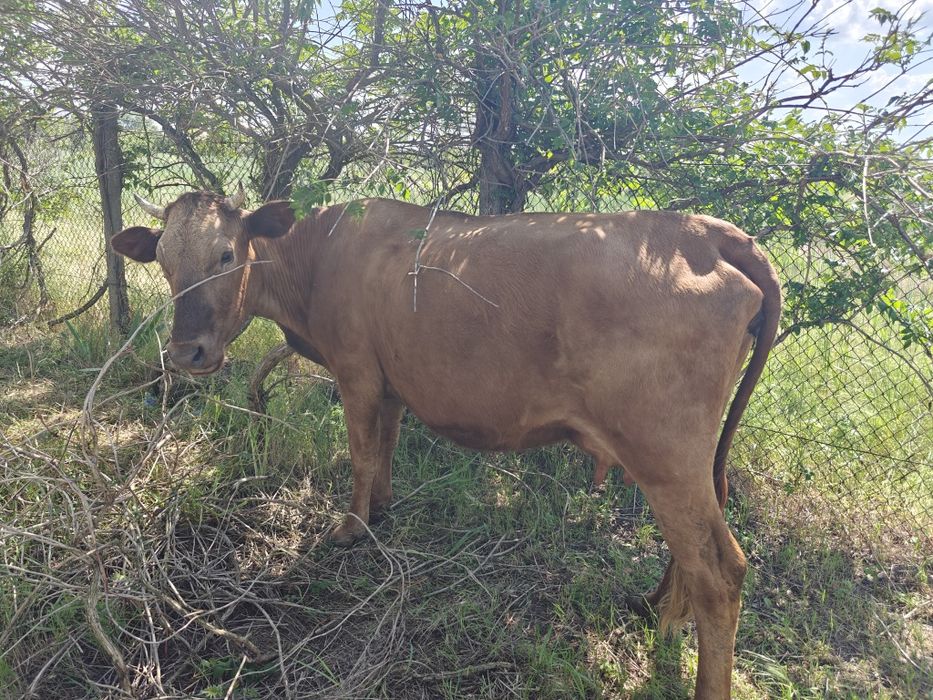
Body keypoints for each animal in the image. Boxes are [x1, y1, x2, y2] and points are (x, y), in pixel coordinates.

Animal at [112, 185, 781, 699]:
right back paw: (660, 611)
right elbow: (383, 445)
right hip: (687, 458)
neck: (316, 256)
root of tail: (705, 230)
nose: (186, 353)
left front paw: (351, 528)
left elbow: (361, 451)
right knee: (700, 543)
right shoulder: (391, 379)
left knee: (720, 570)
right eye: (164, 262)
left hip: (665, 452)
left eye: (227, 254)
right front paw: (381, 508)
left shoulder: (356, 369)